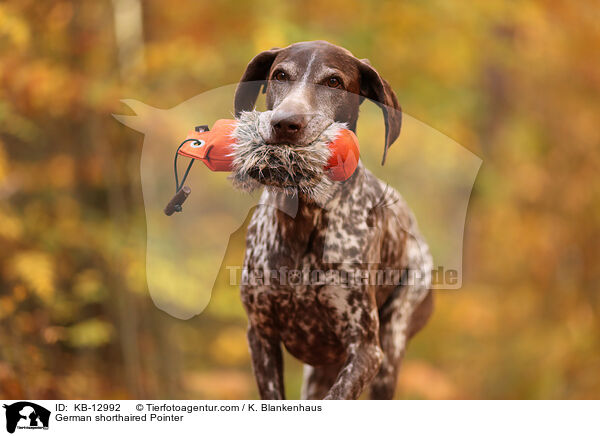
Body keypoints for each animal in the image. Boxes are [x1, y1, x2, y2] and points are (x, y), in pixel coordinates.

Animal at [232, 41, 434, 398]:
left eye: (334, 82)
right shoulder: (261, 335)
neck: (305, 219)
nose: (286, 123)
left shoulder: (366, 350)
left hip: (392, 345)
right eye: (280, 75)